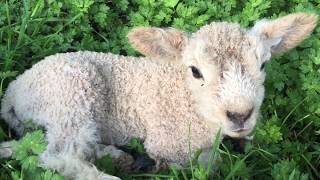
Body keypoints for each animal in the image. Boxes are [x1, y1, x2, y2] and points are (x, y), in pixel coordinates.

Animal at [0, 12, 318, 179]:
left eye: (262, 65)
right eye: (195, 71)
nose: (240, 115)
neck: (186, 101)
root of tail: (13, 92)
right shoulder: (167, 142)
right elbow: (207, 163)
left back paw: (118, 157)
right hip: (71, 92)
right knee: (60, 154)